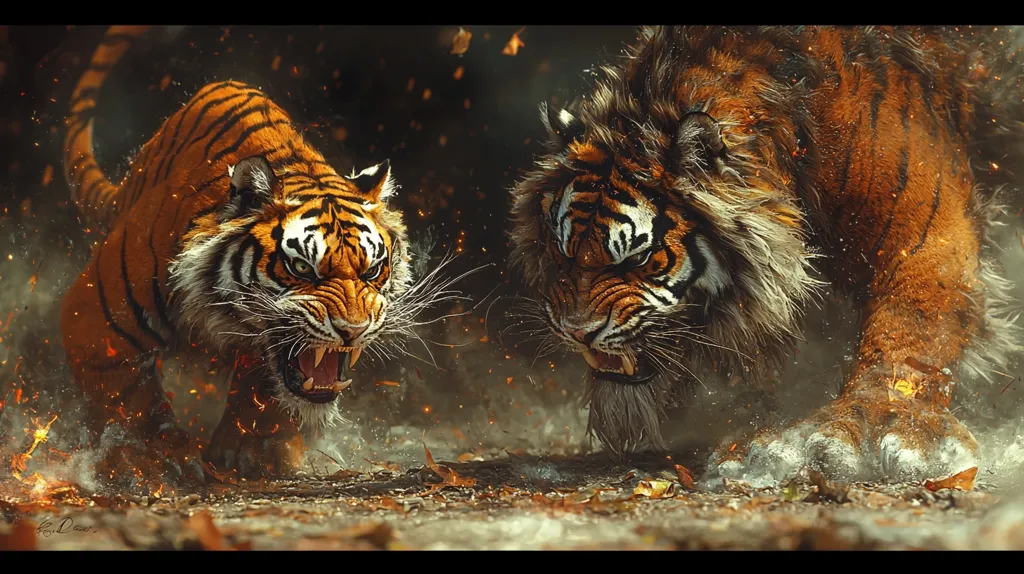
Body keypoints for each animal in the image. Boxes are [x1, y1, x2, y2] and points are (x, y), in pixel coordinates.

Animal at [61, 25, 431, 492]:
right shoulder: (94, 320)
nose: (352, 331)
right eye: (301, 267)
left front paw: (252, 454)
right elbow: (133, 399)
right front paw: (157, 459)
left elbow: (268, 391)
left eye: (373, 269)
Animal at [508, 25, 1024, 483]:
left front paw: (869, 431)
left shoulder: (924, 240)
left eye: (635, 259)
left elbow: (910, 329)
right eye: (564, 251)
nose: (576, 332)